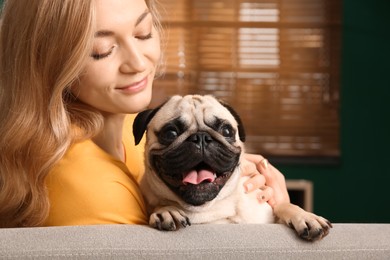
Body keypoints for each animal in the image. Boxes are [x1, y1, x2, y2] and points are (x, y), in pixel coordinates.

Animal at [134, 94, 332, 241]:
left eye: (226, 131)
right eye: (171, 133)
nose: (201, 137)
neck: (206, 209)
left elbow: (283, 206)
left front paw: (305, 216)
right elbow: (159, 205)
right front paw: (166, 210)